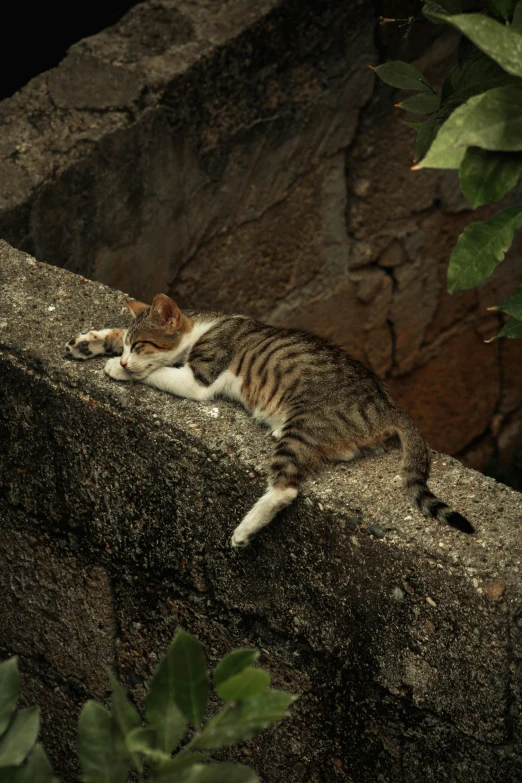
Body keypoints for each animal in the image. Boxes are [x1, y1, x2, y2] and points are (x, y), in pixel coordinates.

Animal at [65, 292, 472, 544]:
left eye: (142, 346)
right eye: (130, 345)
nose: (123, 360)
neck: (202, 329)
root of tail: (387, 405)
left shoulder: (199, 380)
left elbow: (158, 372)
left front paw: (115, 370)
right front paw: (93, 341)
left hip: (305, 426)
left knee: (287, 488)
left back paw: (245, 529)